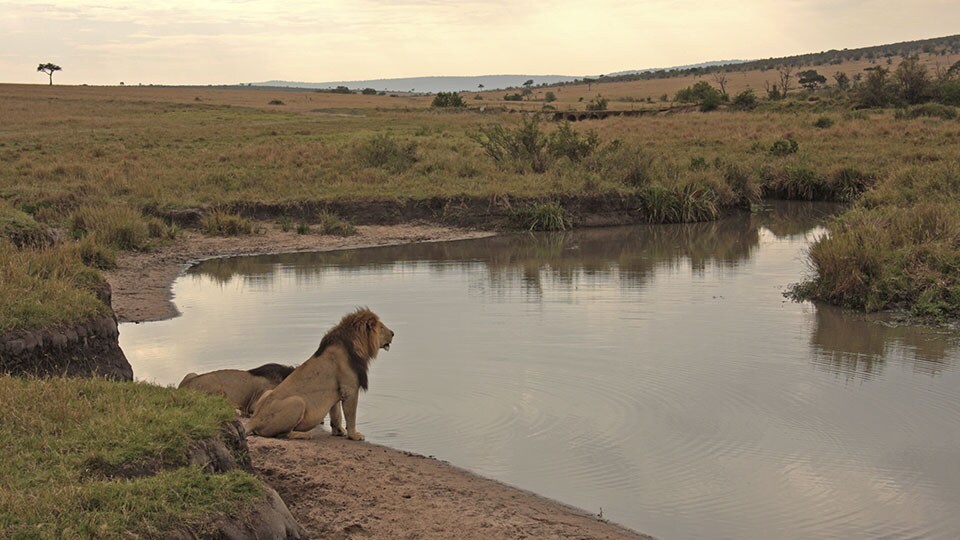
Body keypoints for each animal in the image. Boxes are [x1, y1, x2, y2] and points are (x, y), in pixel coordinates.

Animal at [251, 310, 398, 440]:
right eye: (381, 327)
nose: (393, 333)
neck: (356, 346)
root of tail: (254, 419)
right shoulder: (350, 389)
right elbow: (350, 416)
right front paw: (354, 435)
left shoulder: (337, 391)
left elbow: (336, 414)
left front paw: (339, 431)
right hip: (298, 402)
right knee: (282, 434)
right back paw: (304, 435)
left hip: (267, 393)